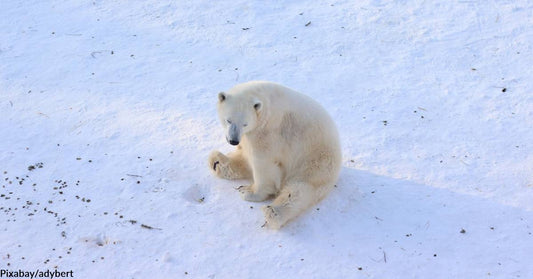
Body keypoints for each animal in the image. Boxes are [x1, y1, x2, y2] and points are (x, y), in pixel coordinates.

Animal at [208, 81, 340, 230]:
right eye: (228, 120)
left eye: (245, 124)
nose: (233, 140)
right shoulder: (249, 135)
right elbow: (245, 154)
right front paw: (219, 163)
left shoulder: (268, 133)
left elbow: (263, 164)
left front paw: (250, 193)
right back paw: (217, 162)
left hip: (315, 162)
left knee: (300, 190)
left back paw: (272, 212)